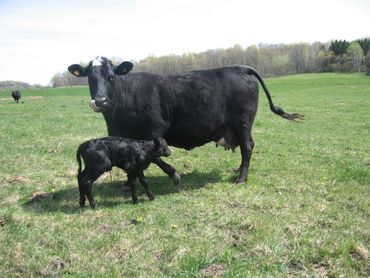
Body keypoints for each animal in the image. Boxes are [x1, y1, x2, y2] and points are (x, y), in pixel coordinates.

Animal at [68, 56, 302, 185]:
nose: (100, 101)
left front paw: (174, 175)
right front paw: (128, 183)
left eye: (112, 76)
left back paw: (241, 178)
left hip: (242, 122)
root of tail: (241, 67)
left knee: (248, 146)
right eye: (90, 77)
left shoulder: (155, 132)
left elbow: (157, 157)